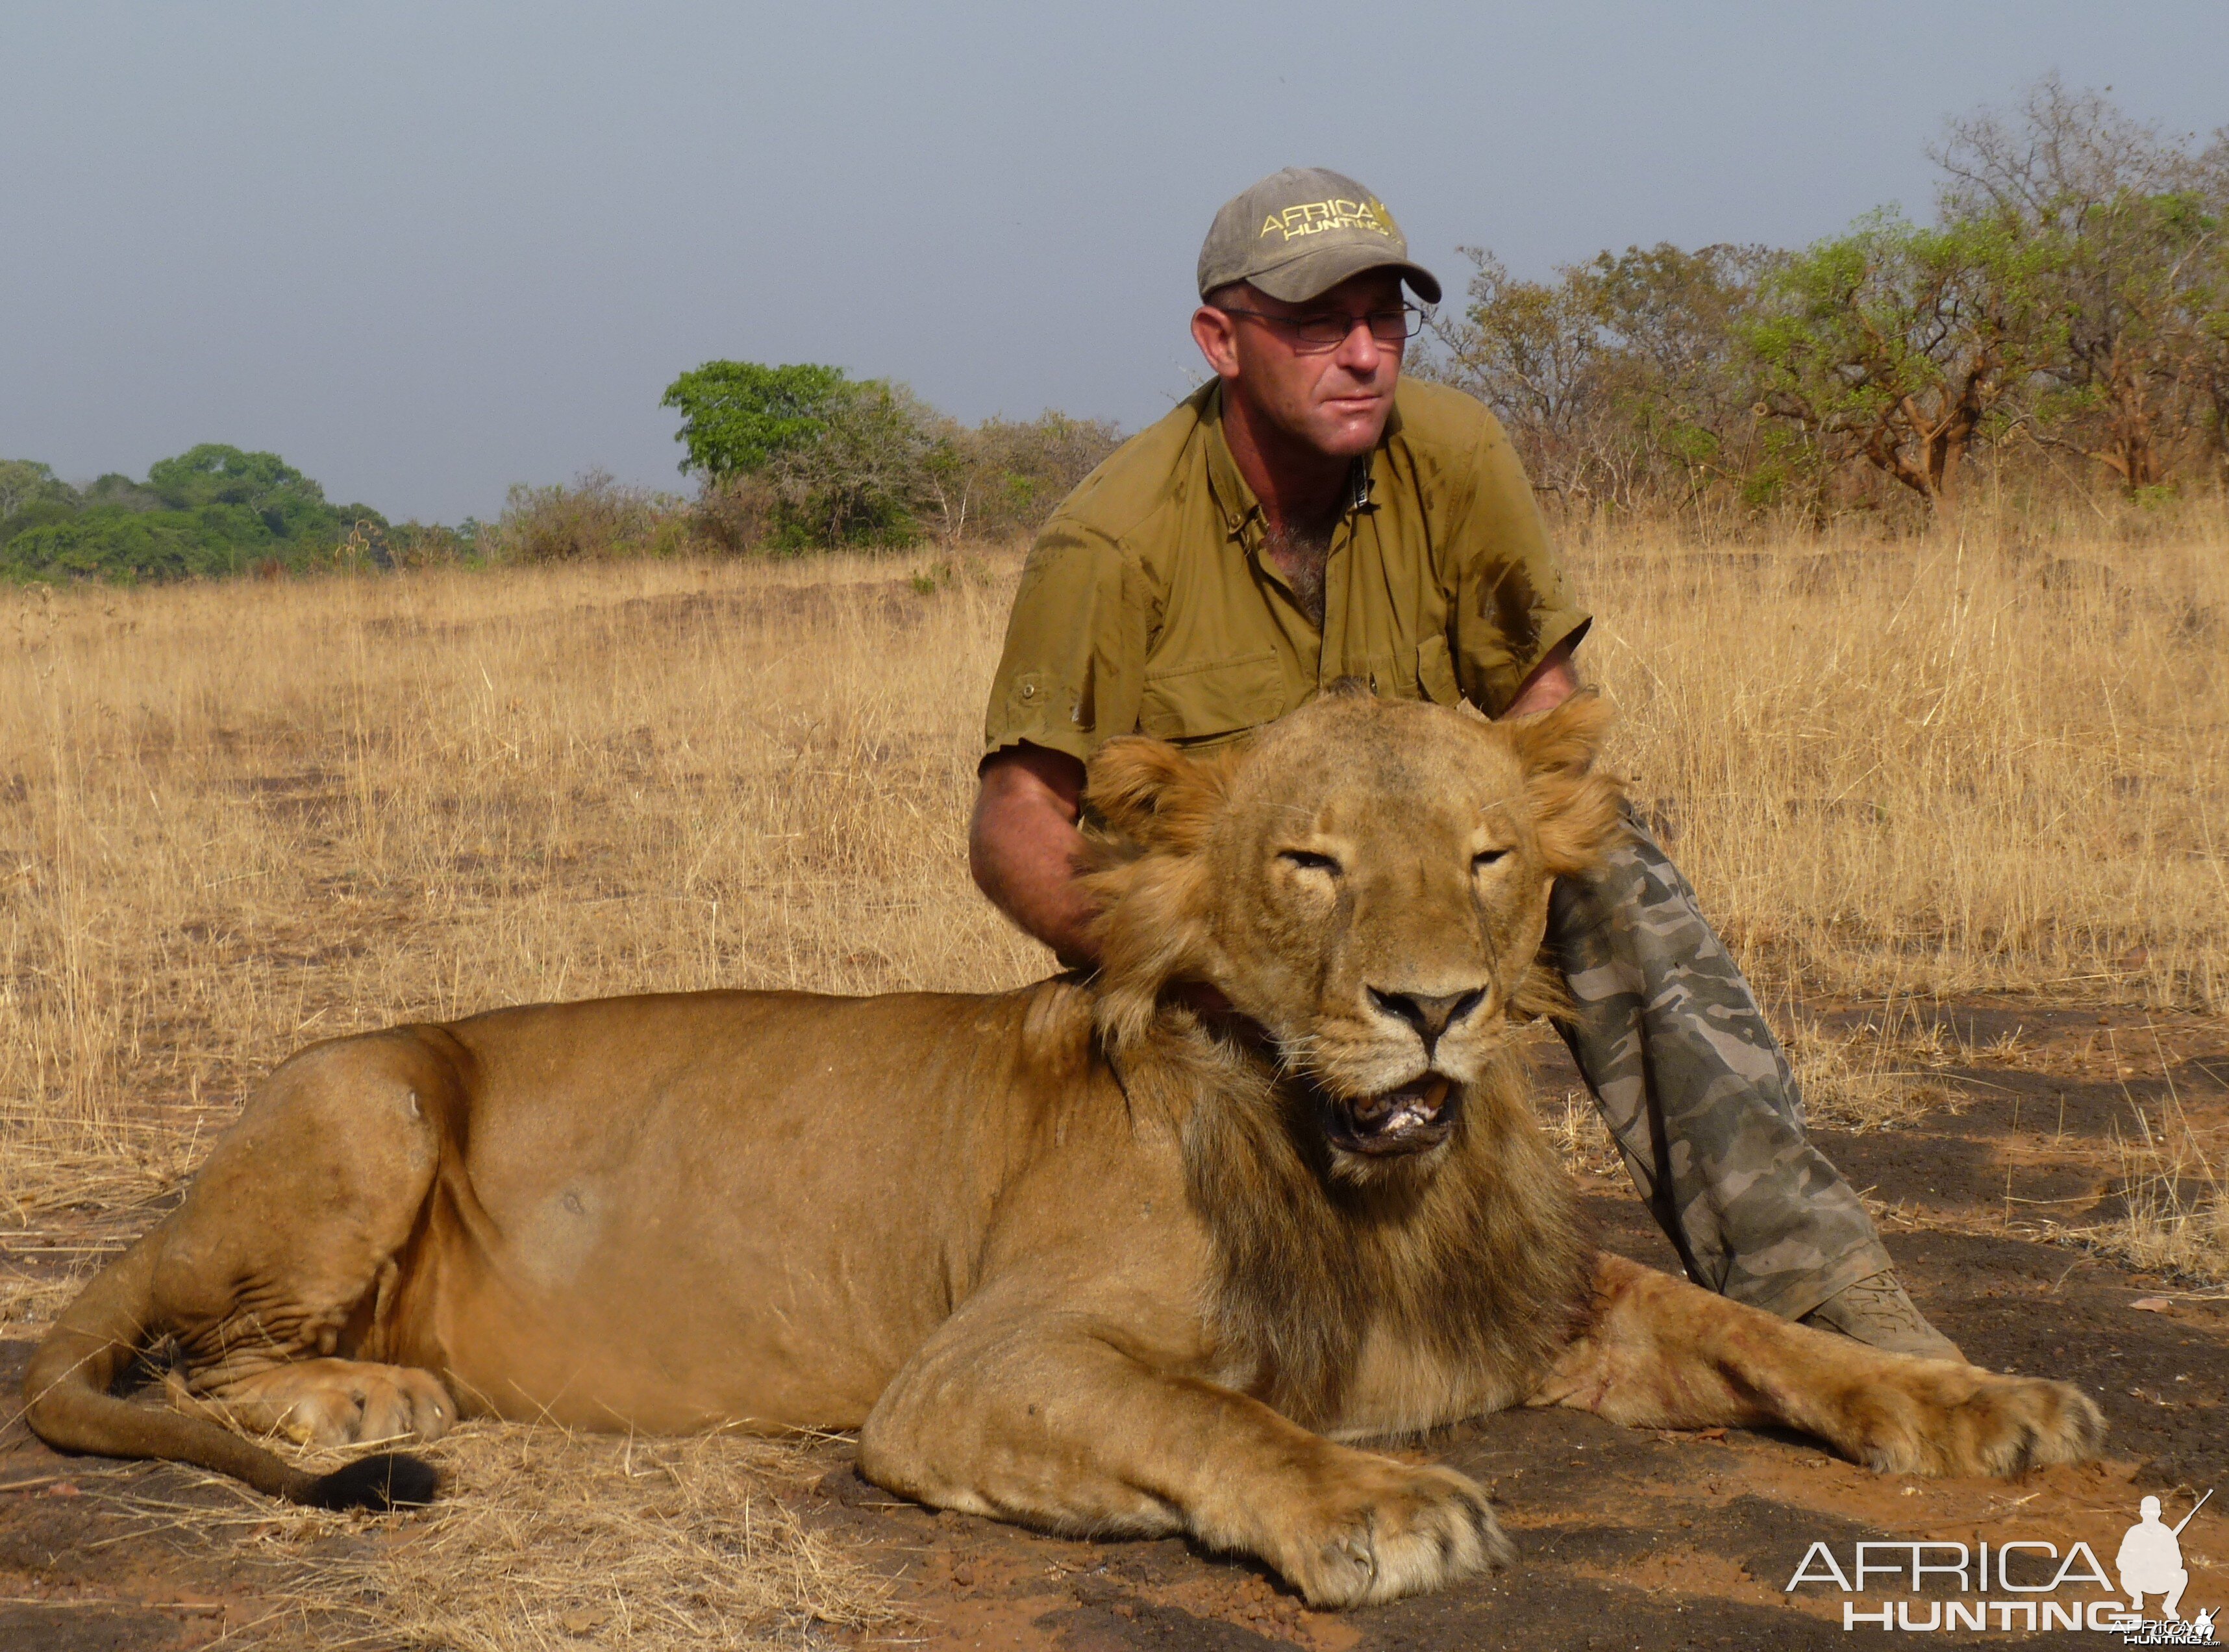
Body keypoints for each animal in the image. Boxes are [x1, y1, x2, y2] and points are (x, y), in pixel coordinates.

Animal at [26, 691, 2095, 1605]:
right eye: (1312, 861)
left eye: (1487, 858)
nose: (1435, 1005)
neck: (1360, 1170)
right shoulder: (964, 1373)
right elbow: (1216, 1415)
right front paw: (1381, 1506)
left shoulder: (1531, 1296)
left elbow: (1755, 1333)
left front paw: (1983, 1400)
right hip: (366, 1097)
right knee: (186, 1349)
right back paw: (357, 1402)